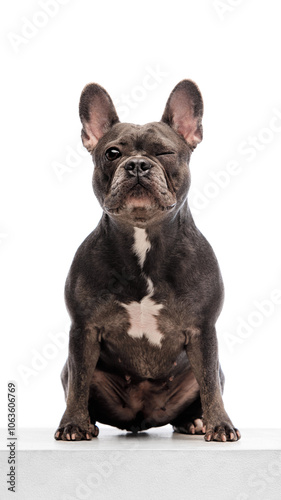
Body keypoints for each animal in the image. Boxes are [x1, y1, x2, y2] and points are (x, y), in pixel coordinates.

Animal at [55, 80, 241, 444]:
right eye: (112, 153)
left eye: (165, 153)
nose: (138, 164)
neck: (144, 240)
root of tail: (142, 420)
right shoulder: (84, 330)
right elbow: (79, 383)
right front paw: (72, 424)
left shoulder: (203, 331)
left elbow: (210, 385)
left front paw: (220, 425)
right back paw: (89, 423)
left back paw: (196, 422)